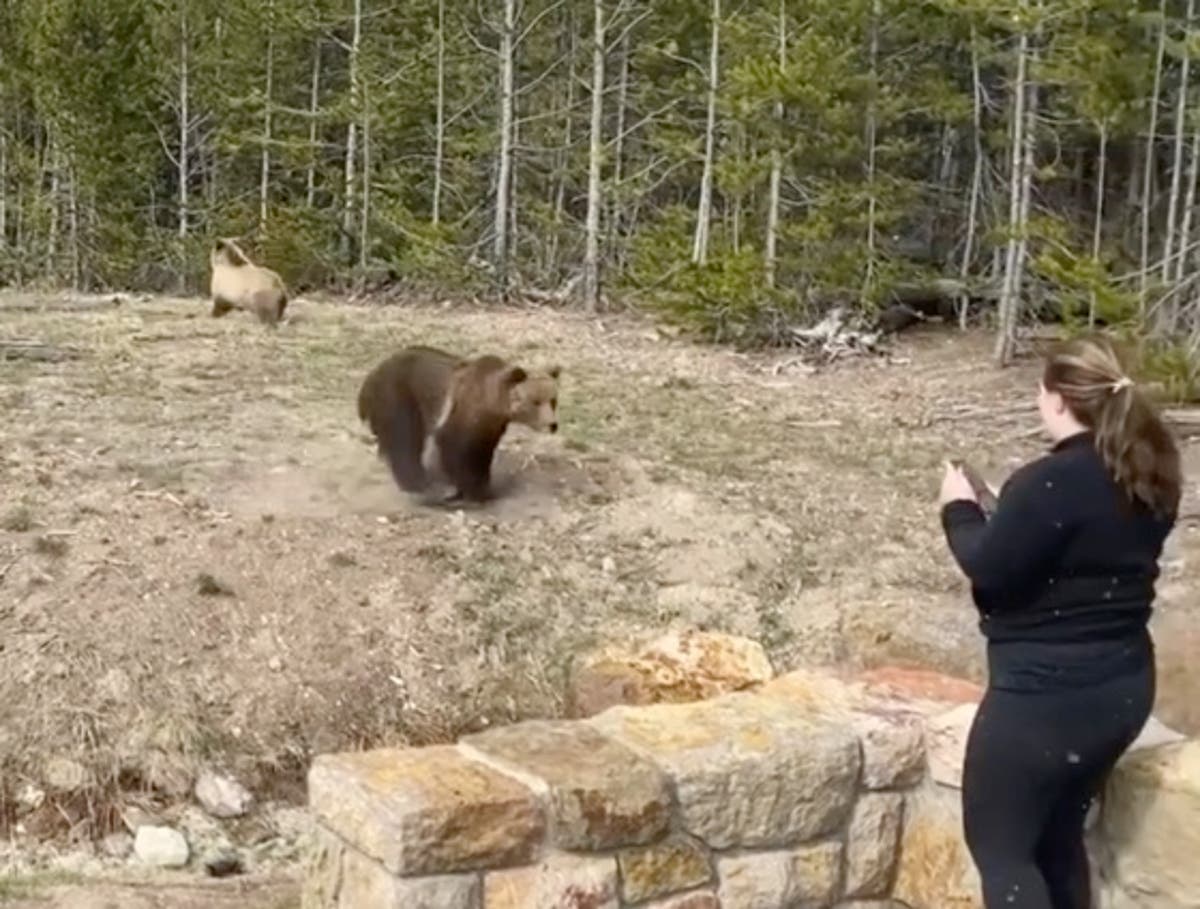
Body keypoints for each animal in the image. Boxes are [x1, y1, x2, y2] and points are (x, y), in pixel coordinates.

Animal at [355, 347, 561, 506]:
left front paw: (483, 488)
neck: (491, 404)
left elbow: (480, 455)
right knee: (405, 439)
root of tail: (372, 374)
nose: (552, 424)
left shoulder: (489, 428)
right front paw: (467, 490)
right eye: (536, 401)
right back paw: (419, 485)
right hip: (400, 395)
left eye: (553, 400)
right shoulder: (458, 416)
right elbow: (454, 449)